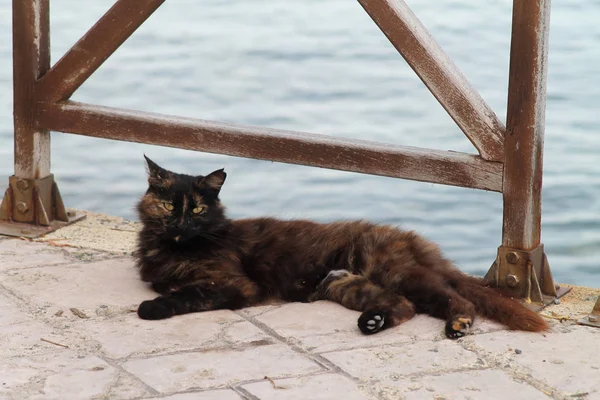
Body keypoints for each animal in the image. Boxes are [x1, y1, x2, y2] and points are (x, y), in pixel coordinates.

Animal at [135, 156, 548, 338]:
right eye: (170, 206)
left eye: (197, 209)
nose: (181, 224)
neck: (173, 248)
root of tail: (407, 237)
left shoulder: (232, 284)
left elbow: (187, 295)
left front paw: (150, 308)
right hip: (345, 283)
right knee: (405, 306)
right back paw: (373, 323)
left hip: (392, 272)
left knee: (453, 299)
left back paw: (457, 324)